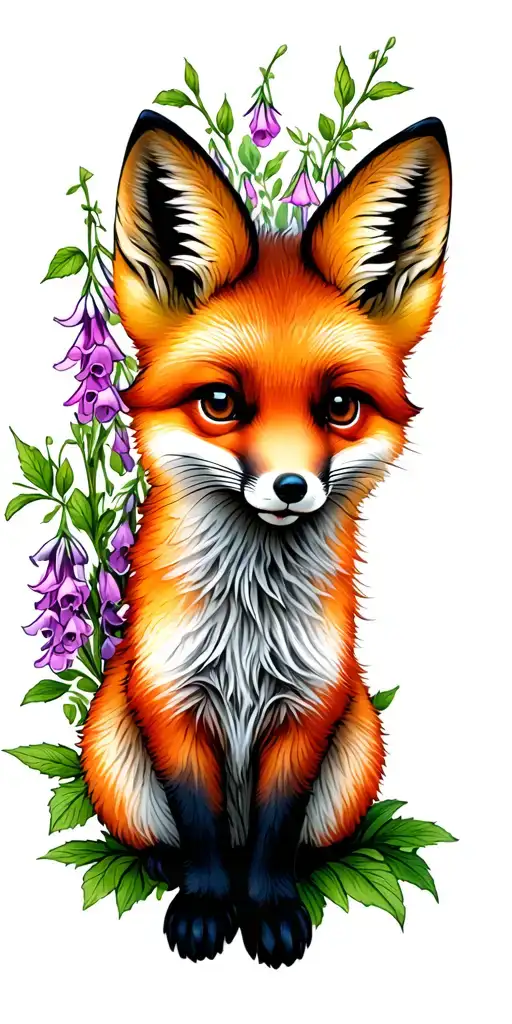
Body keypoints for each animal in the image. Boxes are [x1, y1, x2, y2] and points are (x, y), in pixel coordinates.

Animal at [81, 109, 451, 968]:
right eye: (220, 402)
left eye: (340, 408)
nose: (289, 488)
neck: (247, 630)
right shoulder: (171, 699)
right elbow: (202, 827)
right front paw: (206, 907)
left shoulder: (309, 708)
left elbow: (277, 832)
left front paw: (272, 909)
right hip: (112, 741)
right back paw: (162, 862)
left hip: (358, 744)